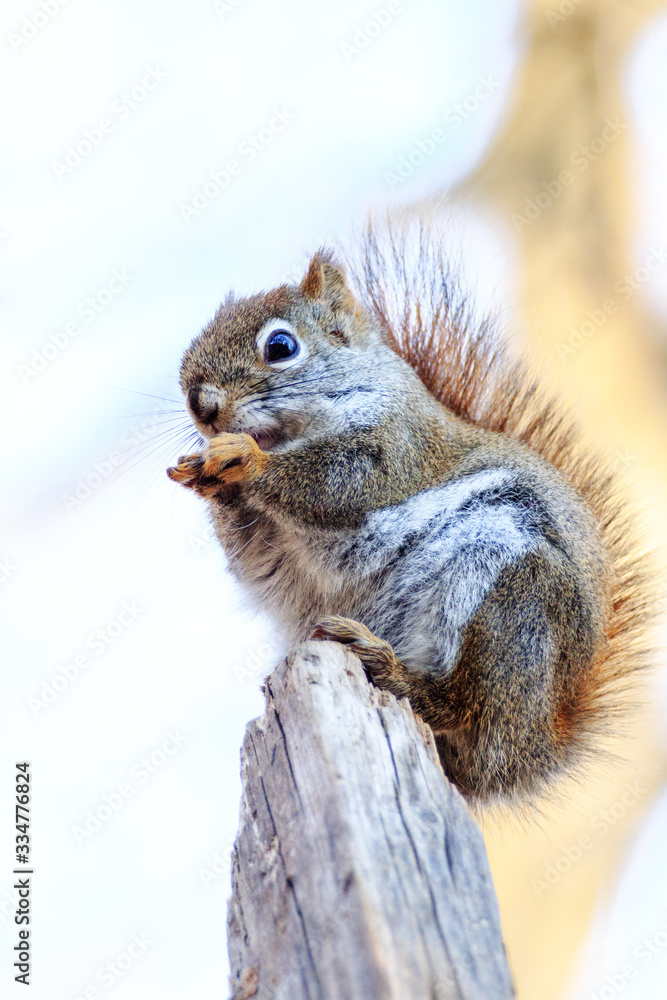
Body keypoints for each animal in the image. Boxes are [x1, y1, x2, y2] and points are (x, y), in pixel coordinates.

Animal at [167, 219, 651, 806]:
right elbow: (252, 556)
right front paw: (206, 476)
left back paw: (391, 668)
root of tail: (532, 747)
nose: (202, 406)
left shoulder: (398, 444)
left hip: (513, 597)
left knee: (466, 710)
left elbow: (340, 478)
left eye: (280, 346)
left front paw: (246, 460)